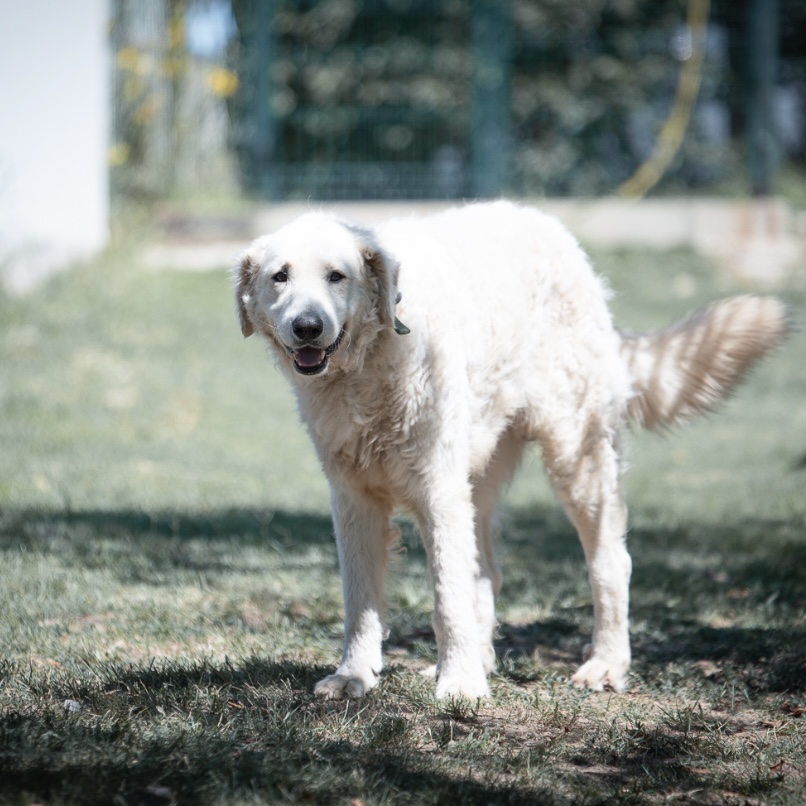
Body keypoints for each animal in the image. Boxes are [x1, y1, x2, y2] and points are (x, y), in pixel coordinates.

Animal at [234, 200, 789, 699]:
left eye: (337, 276)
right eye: (280, 277)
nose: (307, 327)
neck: (371, 364)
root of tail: (549, 226)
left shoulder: (438, 491)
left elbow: (447, 598)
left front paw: (459, 685)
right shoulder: (354, 500)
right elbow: (360, 601)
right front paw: (355, 676)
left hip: (576, 459)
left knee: (611, 563)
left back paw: (605, 664)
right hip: (479, 480)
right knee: (487, 573)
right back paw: (479, 662)